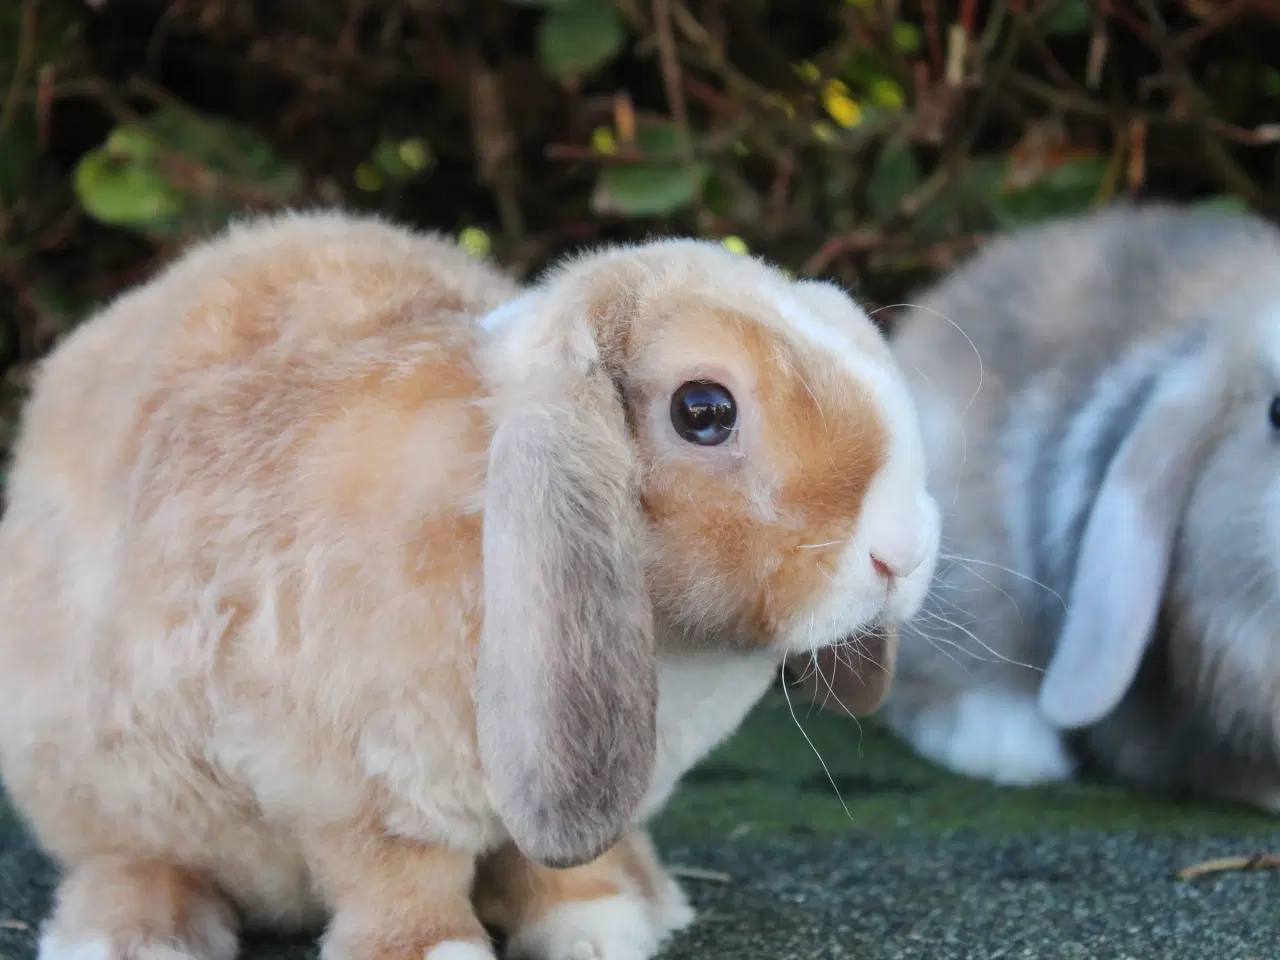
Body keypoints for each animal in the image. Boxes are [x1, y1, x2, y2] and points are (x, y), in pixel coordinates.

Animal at [0, 209, 942, 960]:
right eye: (703, 411)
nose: (904, 550)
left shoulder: (550, 782)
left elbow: (551, 863)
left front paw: (599, 928)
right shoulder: (353, 784)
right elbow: (398, 875)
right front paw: (435, 953)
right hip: (102, 783)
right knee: (130, 853)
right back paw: (132, 934)